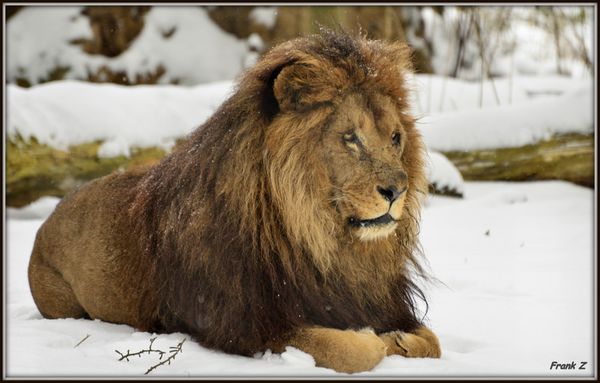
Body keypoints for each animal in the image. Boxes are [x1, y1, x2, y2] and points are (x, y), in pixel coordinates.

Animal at [28, 30, 440, 376]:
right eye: (350, 138)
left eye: (395, 137)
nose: (397, 190)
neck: (324, 242)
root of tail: (50, 216)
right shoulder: (246, 326)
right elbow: (349, 351)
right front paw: (376, 340)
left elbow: (433, 343)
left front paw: (402, 339)